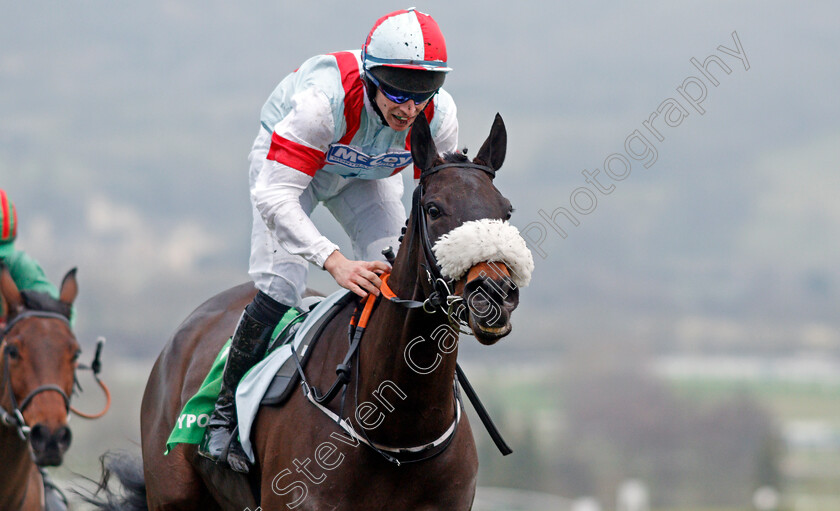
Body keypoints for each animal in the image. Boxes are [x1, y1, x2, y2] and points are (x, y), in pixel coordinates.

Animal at [88, 114, 528, 510]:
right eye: (435, 209)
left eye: (506, 211)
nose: (495, 294)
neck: (395, 430)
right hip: (172, 494)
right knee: (276, 283)